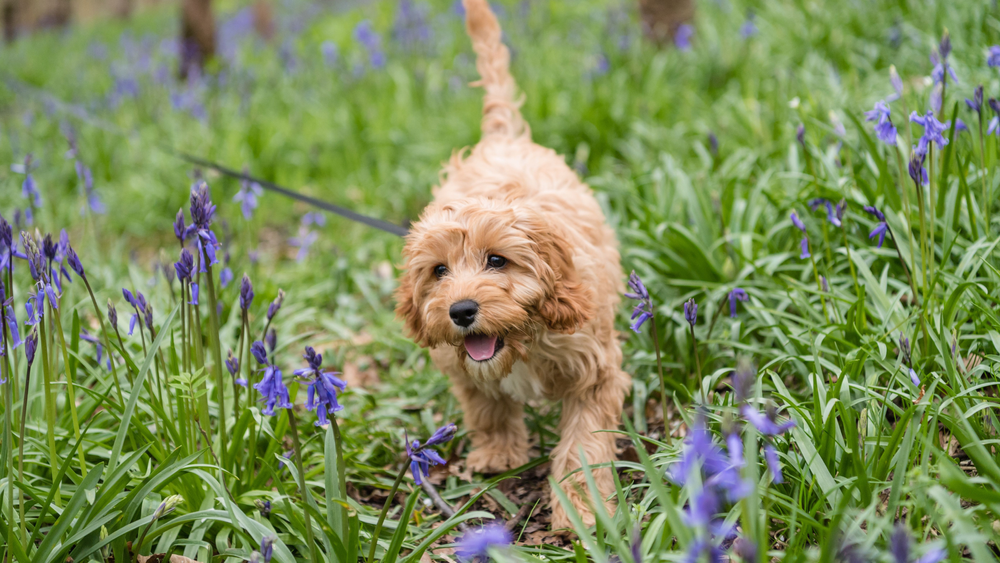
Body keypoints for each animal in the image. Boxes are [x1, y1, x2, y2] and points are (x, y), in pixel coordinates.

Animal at [394, 0, 628, 532]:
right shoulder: (462, 366)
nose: (460, 311)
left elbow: (583, 446)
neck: (525, 338)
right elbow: (487, 407)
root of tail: (502, 137)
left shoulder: (595, 371)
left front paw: (582, 511)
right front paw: (499, 454)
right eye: (439, 271)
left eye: (497, 260)